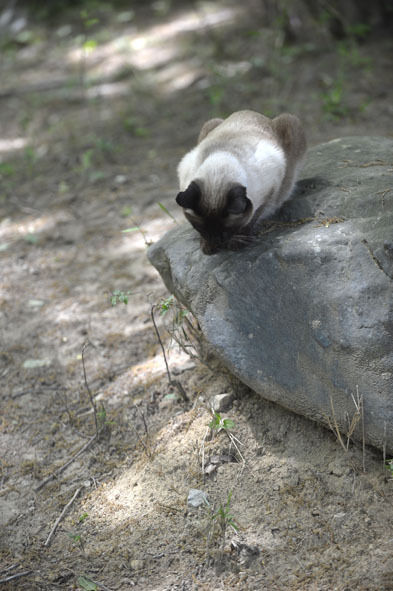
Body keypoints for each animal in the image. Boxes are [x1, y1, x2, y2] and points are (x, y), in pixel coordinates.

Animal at [175, 111, 306, 254]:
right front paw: (208, 245)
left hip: (291, 123)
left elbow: (253, 217)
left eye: (226, 230)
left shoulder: (269, 191)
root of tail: (249, 112)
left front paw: (237, 242)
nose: (218, 241)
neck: (219, 168)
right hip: (209, 124)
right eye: (201, 228)